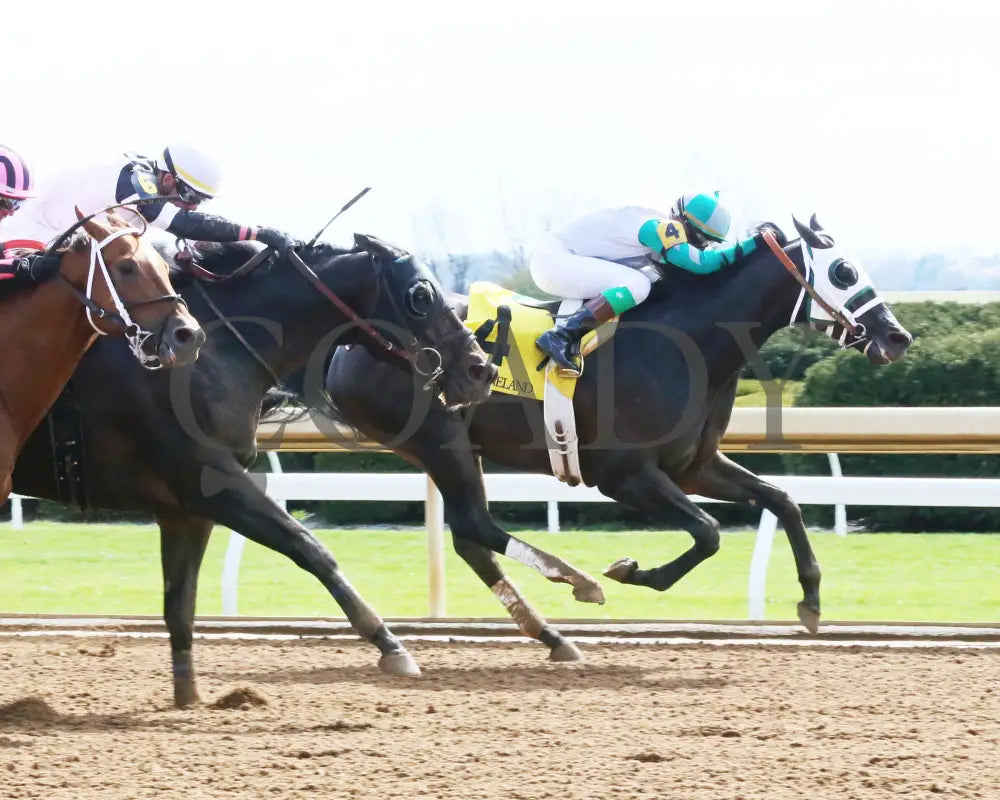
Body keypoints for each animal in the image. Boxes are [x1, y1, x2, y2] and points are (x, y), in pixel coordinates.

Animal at [11, 233, 496, 708]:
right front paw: (390, 644)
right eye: (421, 294)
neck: (213, 350)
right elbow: (308, 547)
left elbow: (180, 605)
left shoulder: (186, 509)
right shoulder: (211, 480)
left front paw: (190, 696)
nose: (481, 369)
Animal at [326, 216, 916, 660]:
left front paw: (812, 600)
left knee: (471, 538)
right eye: (844, 270)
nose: (898, 337)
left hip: (453, 450)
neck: (686, 341)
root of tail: (346, 346)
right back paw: (577, 585)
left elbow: (783, 501)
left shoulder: (693, 466)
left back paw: (552, 635)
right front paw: (631, 571)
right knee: (474, 527)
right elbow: (708, 533)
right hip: (440, 440)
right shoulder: (623, 474)